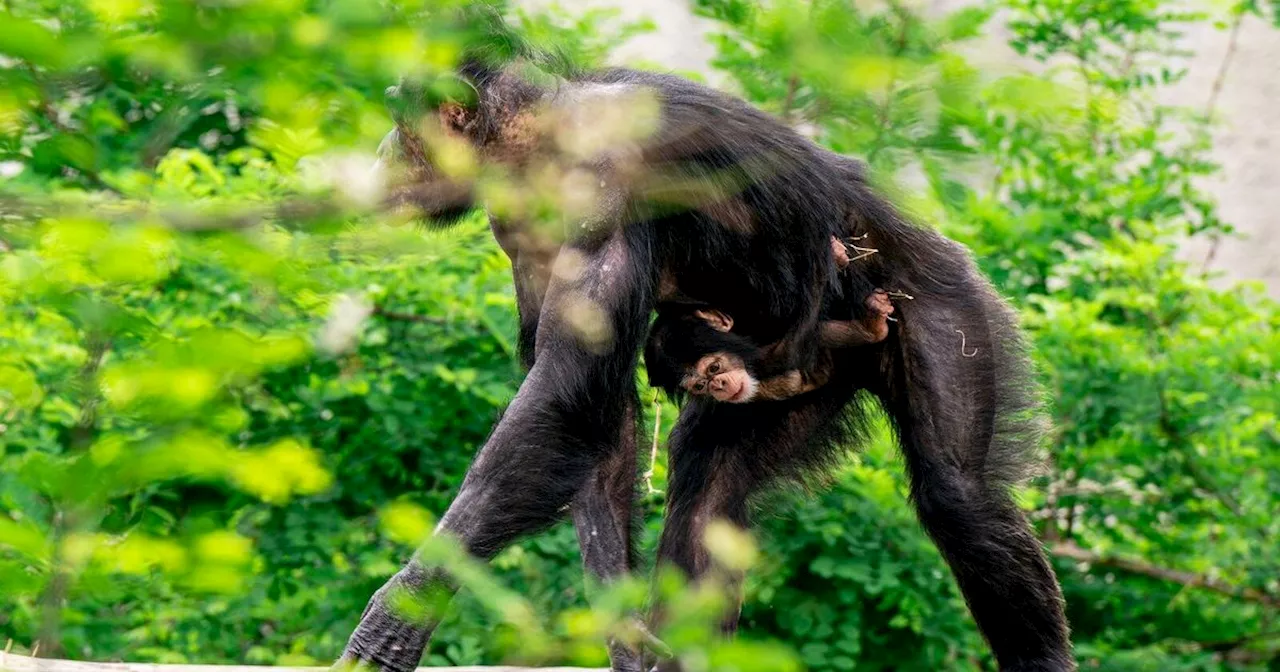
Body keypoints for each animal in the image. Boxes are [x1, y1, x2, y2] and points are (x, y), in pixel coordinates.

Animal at [645, 235, 896, 401]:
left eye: (714, 368)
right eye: (699, 386)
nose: (718, 385)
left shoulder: (757, 352)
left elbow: (791, 349)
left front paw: (833, 255)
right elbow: (791, 350)